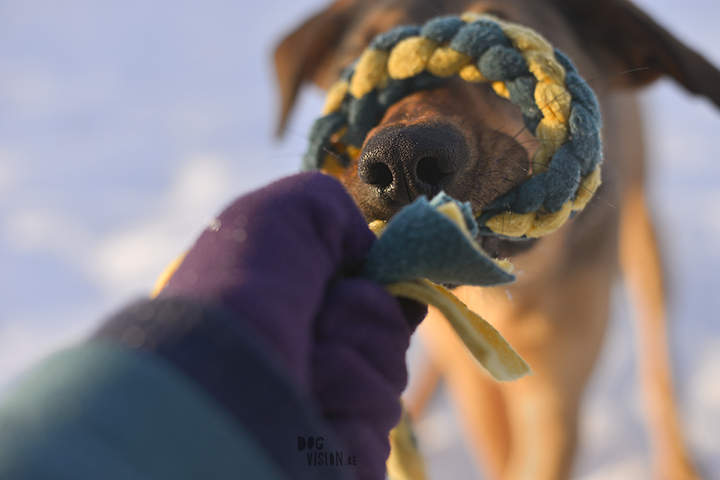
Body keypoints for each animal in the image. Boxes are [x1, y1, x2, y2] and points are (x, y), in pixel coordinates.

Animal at [272, 1, 720, 478]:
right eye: (356, 58)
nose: (401, 160)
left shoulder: (556, 402)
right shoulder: (479, 387)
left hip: (646, 239)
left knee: (658, 361)